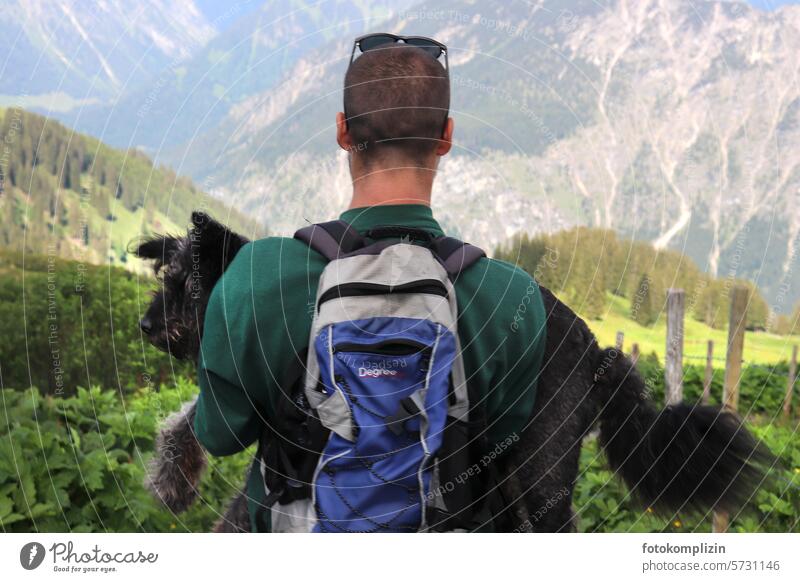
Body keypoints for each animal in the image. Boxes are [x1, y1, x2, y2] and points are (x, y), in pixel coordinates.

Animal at [138, 213, 776, 532]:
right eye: (164, 277)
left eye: (186, 284)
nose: (145, 324)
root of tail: (601, 355)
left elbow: (201, 420)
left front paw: (173, 478)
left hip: (542, 478)